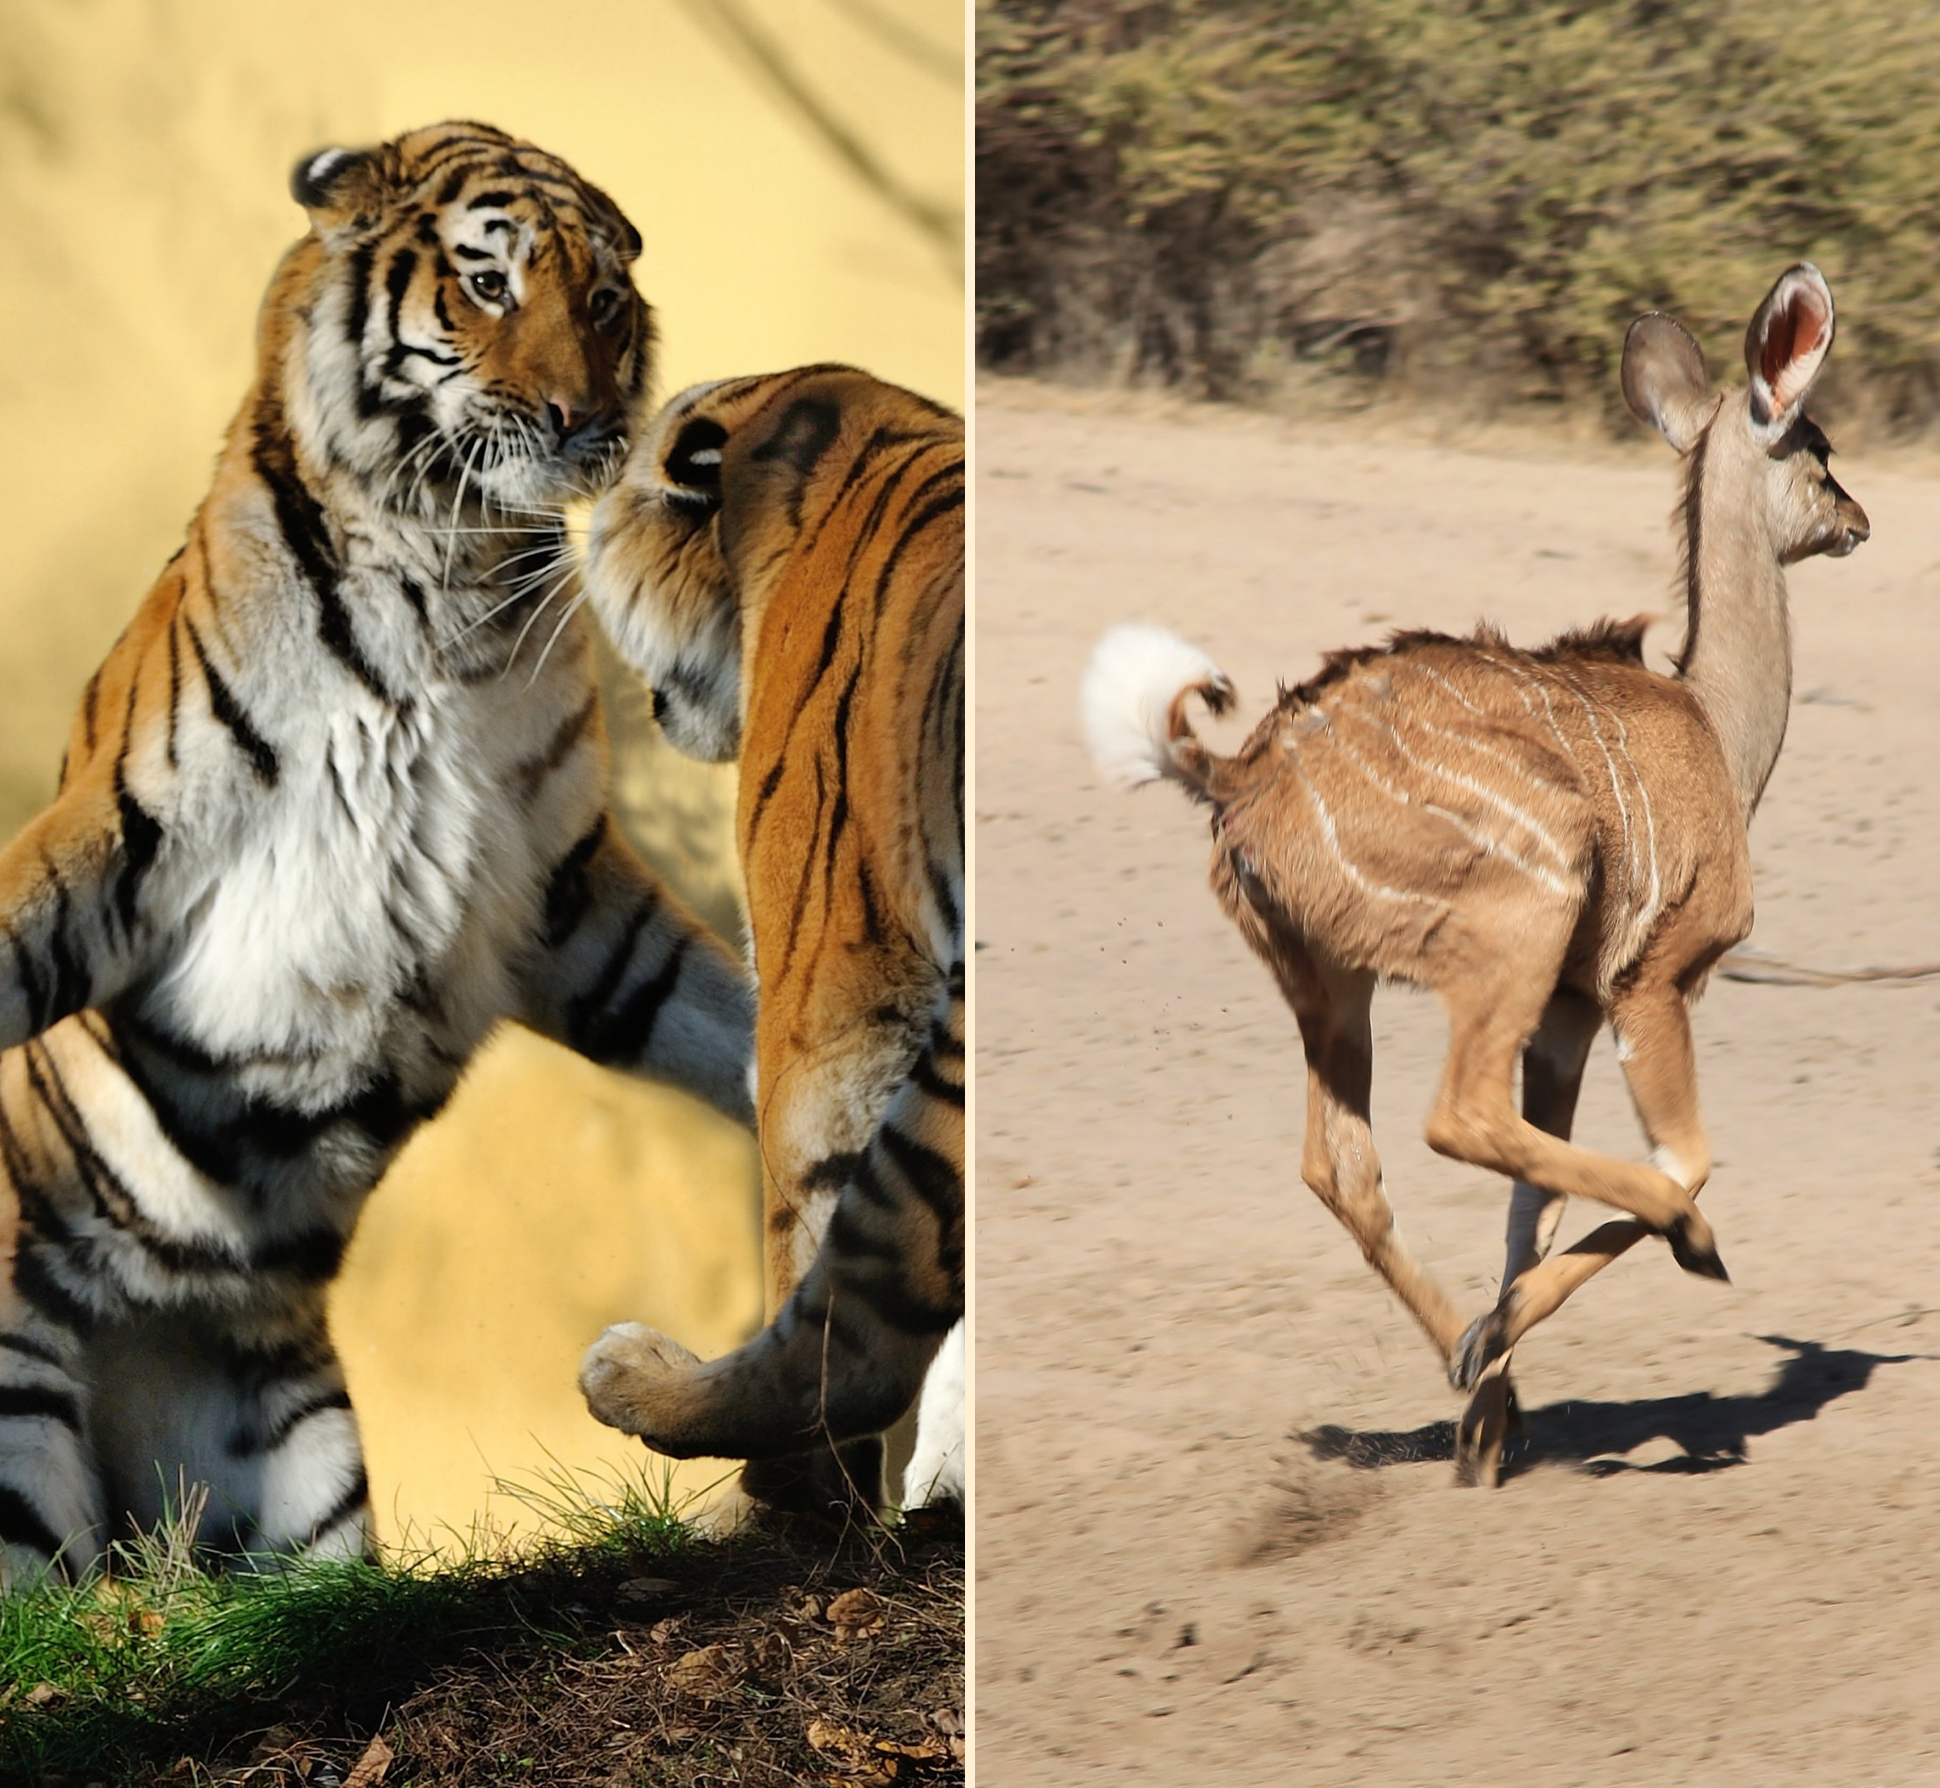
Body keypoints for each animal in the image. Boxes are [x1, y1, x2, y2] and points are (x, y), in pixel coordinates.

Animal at [0, 118, 752, 1582]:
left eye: (604, 301)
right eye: (489, 283)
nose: (582, 422)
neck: (446, 566)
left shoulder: (563, 886)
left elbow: (721, 1007)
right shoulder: (127, 835)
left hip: (297, 1474)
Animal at [1086, 265, 1870, 1481]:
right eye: (1815, 450)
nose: (1857, 521)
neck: (1714, 724)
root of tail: (1237, 773)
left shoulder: (1567, 1011)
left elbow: (1527, 1202)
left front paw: (1487, 1420)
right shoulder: (1648, 979)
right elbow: (1679, 1160)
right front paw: (1664, 1266)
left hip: (1331, 982)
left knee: (1346, 1165)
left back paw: (1475, 1386)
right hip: (1512, 924)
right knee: (1454, 1117)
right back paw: (1541, 1321)